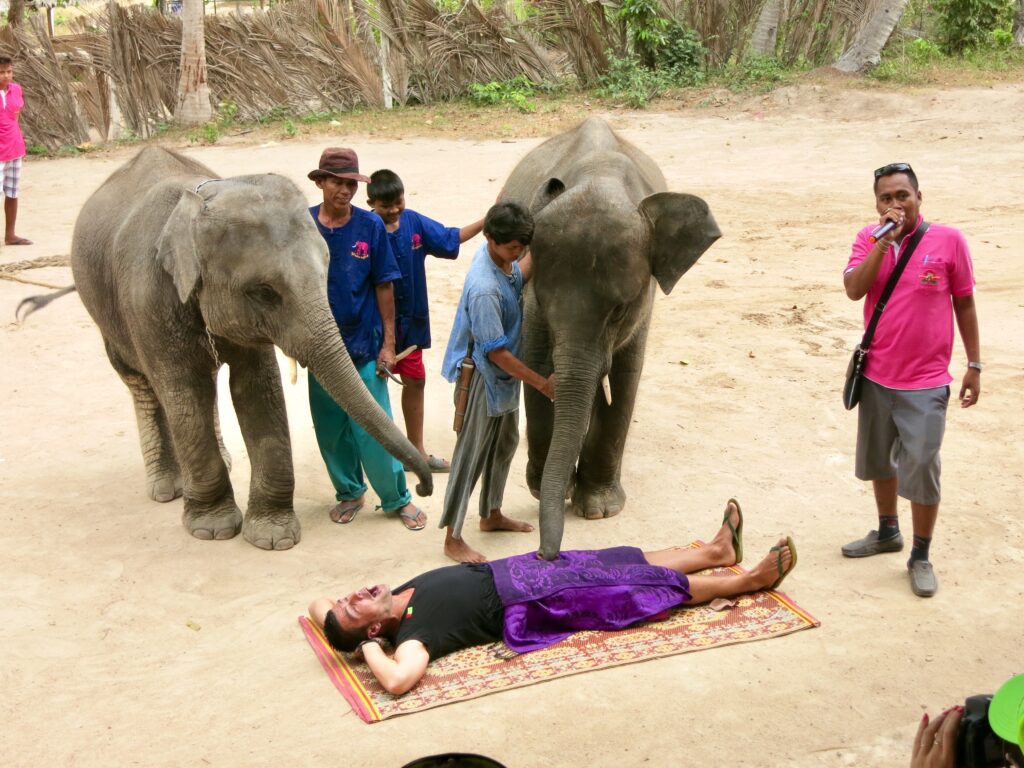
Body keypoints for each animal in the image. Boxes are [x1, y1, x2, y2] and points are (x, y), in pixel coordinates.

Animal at [56, 147, 432, 548]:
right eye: (264, 292)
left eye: (326, 273)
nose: (424, 488)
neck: (199, 205)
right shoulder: (149, 302)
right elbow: (183, 394)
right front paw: (212, 529)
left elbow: (256, 389)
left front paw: (273, 537)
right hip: (106, 311)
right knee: (143, 382)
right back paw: (167, 486)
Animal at [501, 118, 724, 561]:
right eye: (545, 301)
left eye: (619, 311)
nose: (545, 554)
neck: (600, 178)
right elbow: (534, 364)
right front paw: (549, 488)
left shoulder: (645, 300)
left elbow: (624, 379)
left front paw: (599, 509)